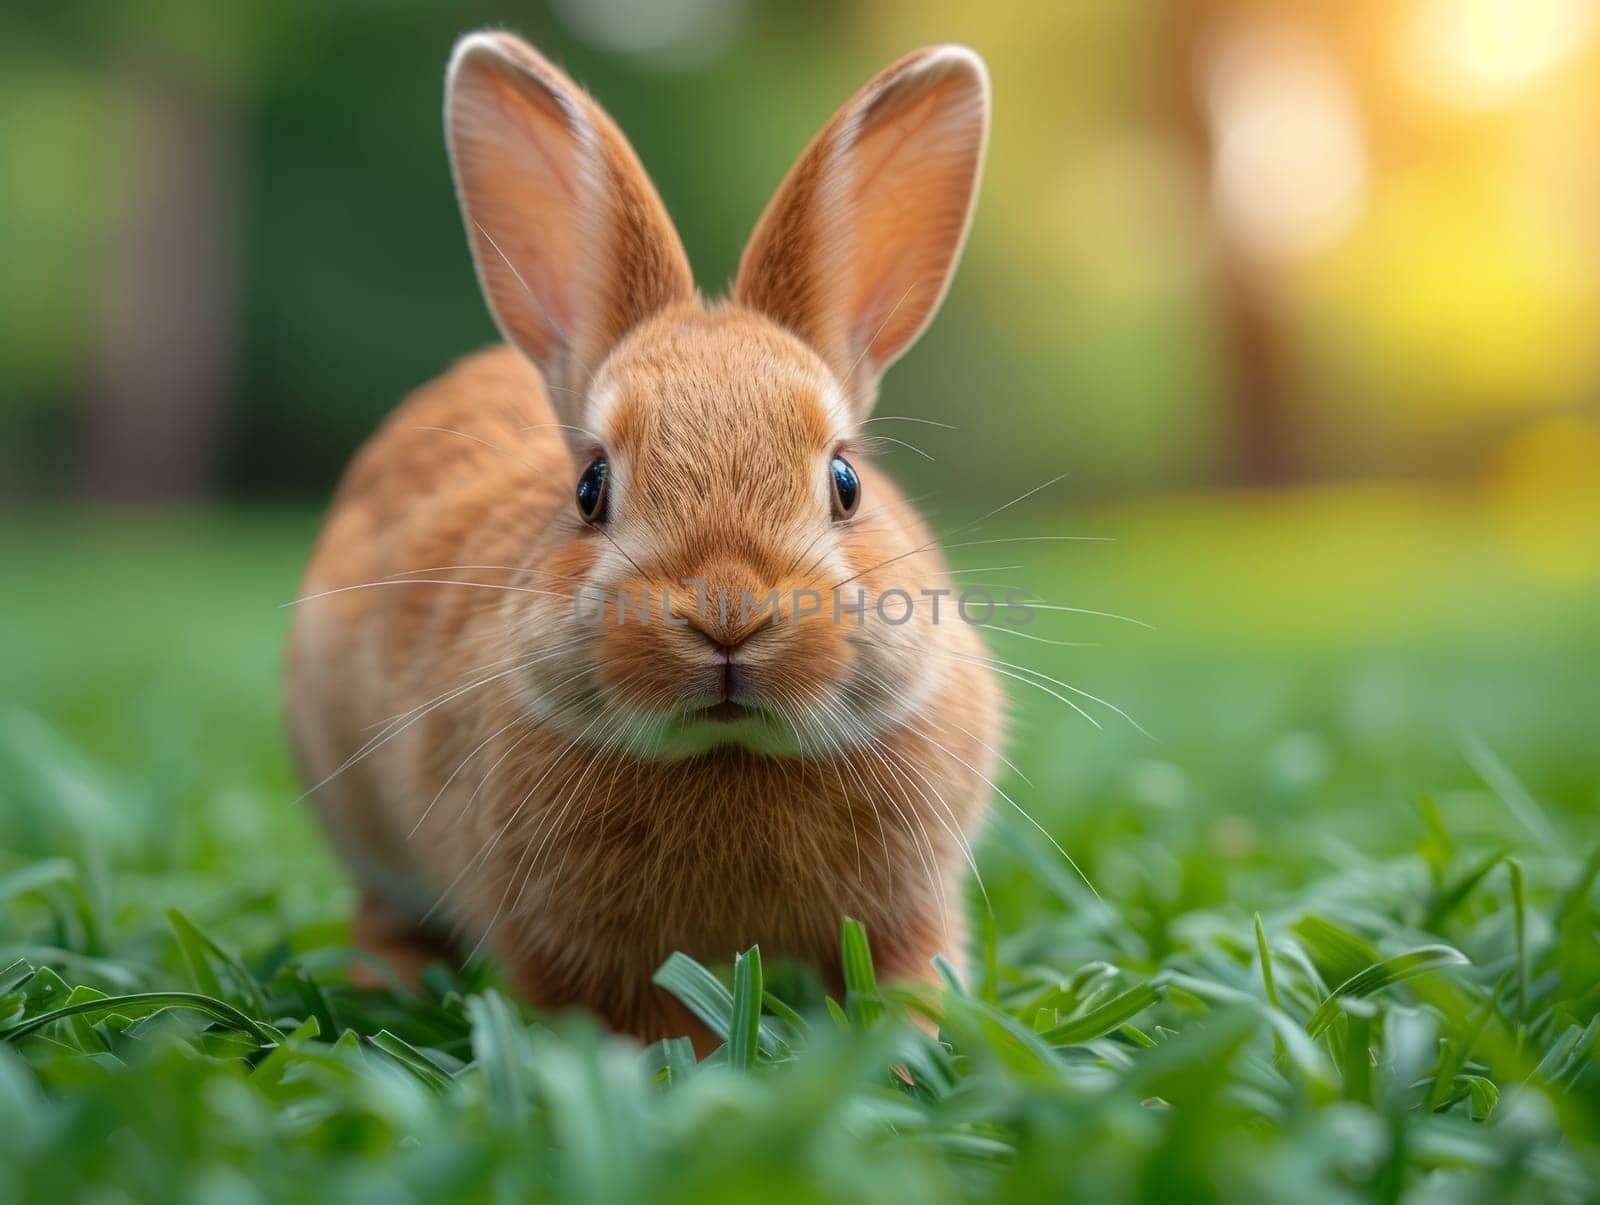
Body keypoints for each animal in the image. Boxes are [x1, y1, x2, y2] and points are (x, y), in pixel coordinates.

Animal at [281, 25, 992, 1043]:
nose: (728, 612)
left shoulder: (907, 916)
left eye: (846, 482)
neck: (730, 751)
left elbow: (904, 991)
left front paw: (902, 1059)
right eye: (590, 489)